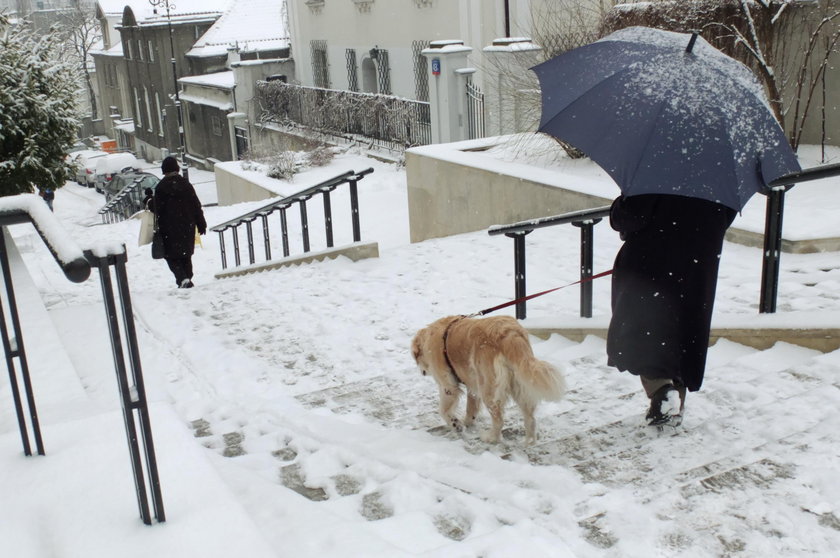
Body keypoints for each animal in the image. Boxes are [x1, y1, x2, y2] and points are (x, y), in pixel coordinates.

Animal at [412, 316, 568, 446]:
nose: (422, 372)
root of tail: (510, 333)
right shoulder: (472, 385)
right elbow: (471, 407)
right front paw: (467, 422)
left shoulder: (448, 386)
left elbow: (443, 410)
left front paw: (456, 424)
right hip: (520, 383)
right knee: (530, 418)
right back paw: (529, 442)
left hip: (488, 388)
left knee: (498, 419)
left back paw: (491, 438)